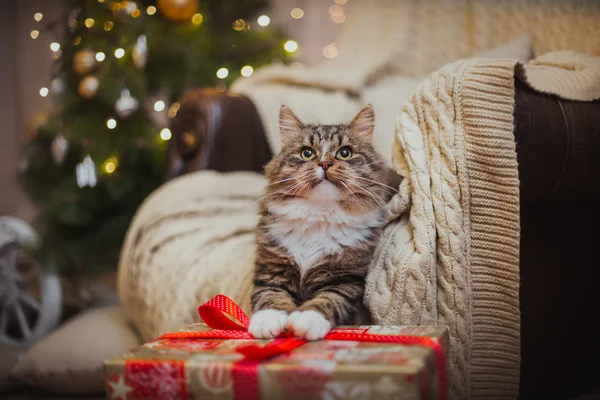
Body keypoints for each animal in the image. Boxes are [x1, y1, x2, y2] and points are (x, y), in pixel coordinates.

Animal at [250, 104, 394, 340]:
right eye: (307, 153)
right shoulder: (272, 270)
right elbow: (269, 297)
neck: (319, 214)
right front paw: (267, 323)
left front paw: (306, 322)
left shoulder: (344, 280)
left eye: (344, 153)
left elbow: (326, 301)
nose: (325, 163)